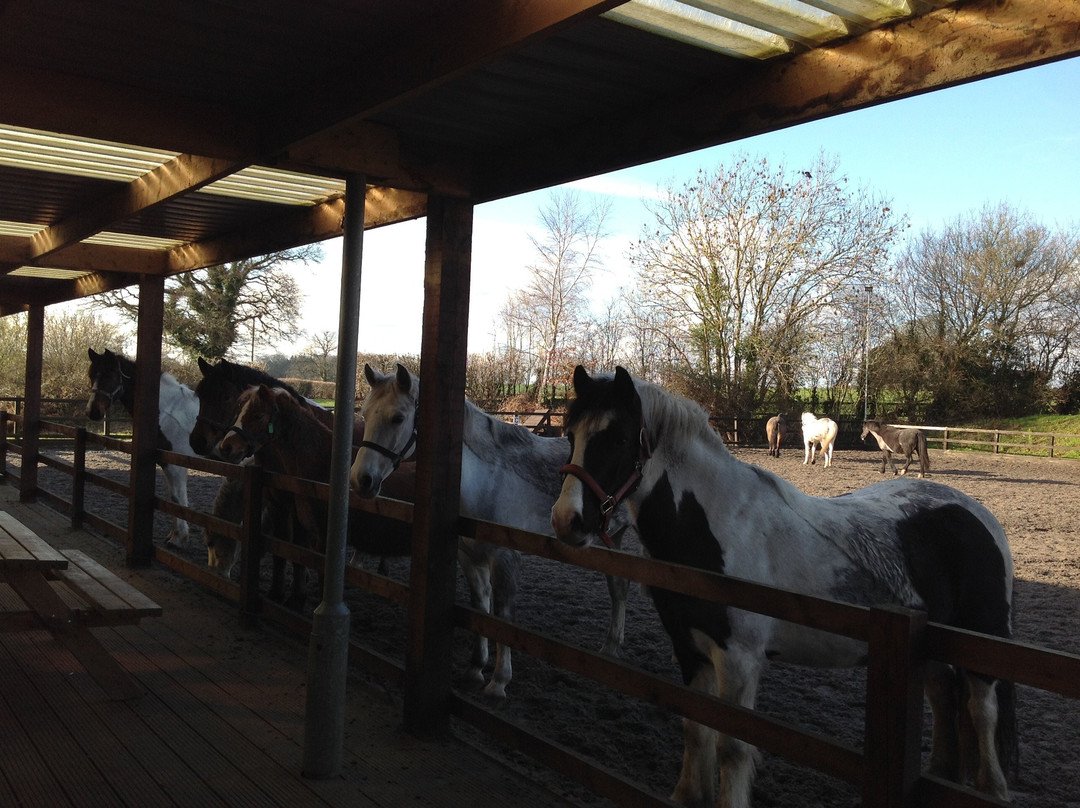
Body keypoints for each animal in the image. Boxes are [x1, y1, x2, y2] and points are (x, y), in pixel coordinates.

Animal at [86, 347, 200, 548]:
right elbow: (173, 497)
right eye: (91, 375)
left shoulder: (176, 464)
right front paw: (175, 535)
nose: (93, 412)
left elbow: (178, 499)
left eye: (110, 375)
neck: (167, 410)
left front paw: (179, 539)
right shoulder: (167, 463)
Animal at [347, 362, 630, 695]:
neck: (485, 483)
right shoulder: (470, 557)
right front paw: (475, 668)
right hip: (613, 540)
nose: (360, 480)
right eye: (365, 414)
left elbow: (502, 616)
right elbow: (479, 609)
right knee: (618, 589)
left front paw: (499, 681)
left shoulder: (505, 558)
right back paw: (611, 648)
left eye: (398, 418)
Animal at [552, 365, 1015, 808]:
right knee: (943, 695)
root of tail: (976, 514)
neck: (716, 525)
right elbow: (695, 727)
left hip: (982, 635)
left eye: (619, 438)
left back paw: (993, 787)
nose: (567, 521)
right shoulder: (689, 648)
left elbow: (732, 746)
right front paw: (685, 795)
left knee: (984, 709)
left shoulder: (738, 660)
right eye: (570, 434)